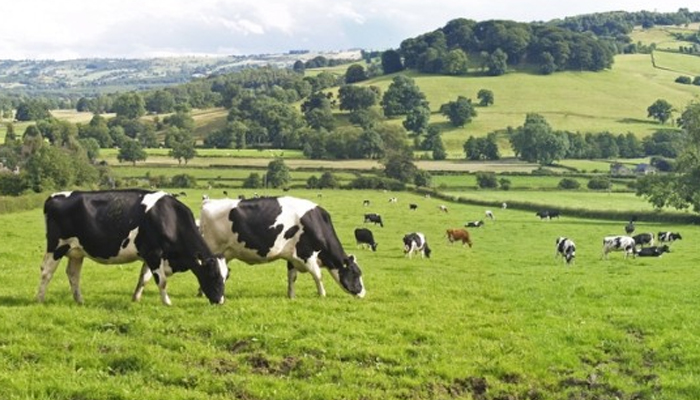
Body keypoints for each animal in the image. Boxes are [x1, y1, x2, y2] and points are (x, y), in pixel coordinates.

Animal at [37, 190, 228, 306]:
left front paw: (135, 298)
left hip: (76, 251)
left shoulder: (150, 255)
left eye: (226, 277)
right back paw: (40, 299)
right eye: (213, 275)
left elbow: (144, 279)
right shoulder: (153, 253)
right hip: (57, 246)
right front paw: (167, 302)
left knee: (73, 274)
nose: (220, 301)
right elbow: (162, 281)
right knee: (46, 272)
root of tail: (53, 197)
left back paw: (80, 300)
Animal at [199, 196, 365, 299]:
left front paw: (291, 296)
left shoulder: (292, 256)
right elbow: (318, 275)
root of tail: (209, 202)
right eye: (356, 273)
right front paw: (322, 294)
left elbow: (292, 277)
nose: (363, 293)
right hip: (213, 249)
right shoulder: (306, 254)